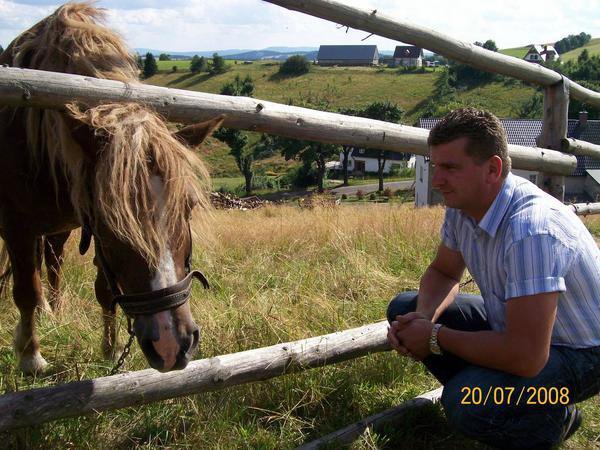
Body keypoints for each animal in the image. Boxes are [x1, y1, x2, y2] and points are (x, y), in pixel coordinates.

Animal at [0, 3, 225, 374]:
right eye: (111, 217)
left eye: (188, 206)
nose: (170, 345)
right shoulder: (18, 226)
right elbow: (25, 291)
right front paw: (31, 356)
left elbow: (104, 289)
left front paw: (110, 348)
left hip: (58, 231)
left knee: (53, 263)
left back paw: (53, 309)